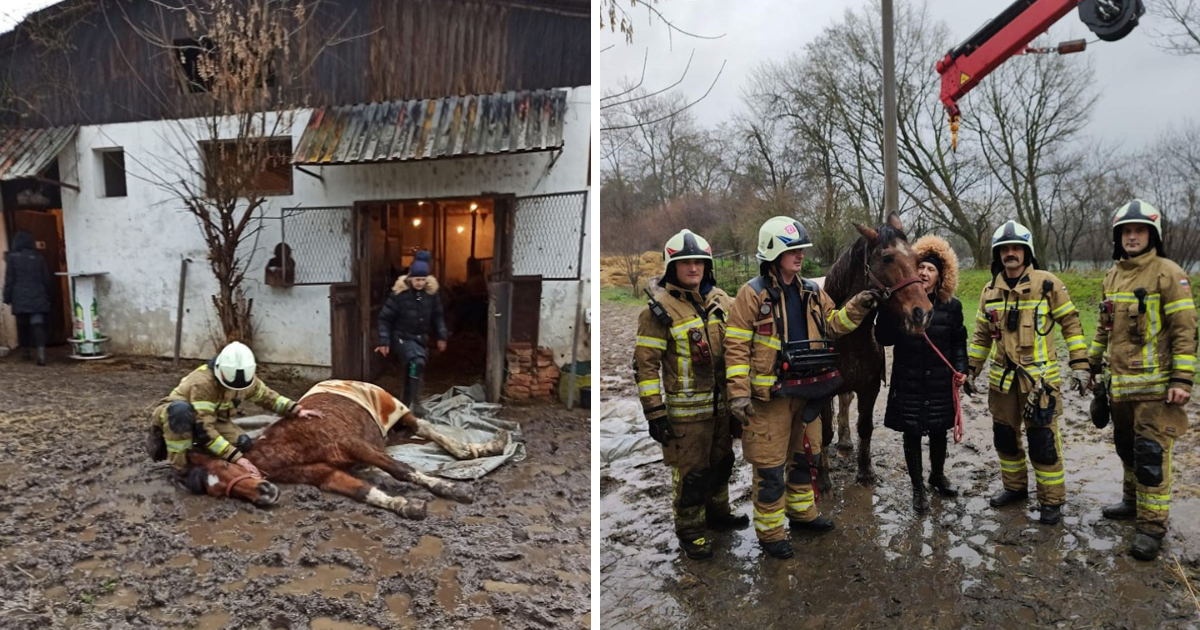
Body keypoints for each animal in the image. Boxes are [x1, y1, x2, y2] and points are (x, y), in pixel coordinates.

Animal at [180, 379, 508, 516]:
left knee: (427, 429)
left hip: (396, 413)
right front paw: (406, 506)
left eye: (226, 466)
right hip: (386, 434)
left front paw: (452, 490)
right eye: (219, 491)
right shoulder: (325, 474)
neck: (289, 445)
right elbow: (363, 491)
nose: (265, 493)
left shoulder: (356, 445)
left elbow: (402, 470)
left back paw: (478, 449)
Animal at [820, 213, 931, 484]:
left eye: (916, 259)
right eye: (887, 258)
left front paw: (865, 471)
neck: (848, 339)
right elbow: (823, 433)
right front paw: (823, 480)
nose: (922, 313)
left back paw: (845, 442)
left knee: (845, 401)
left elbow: (865, 427)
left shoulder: (869, 388)